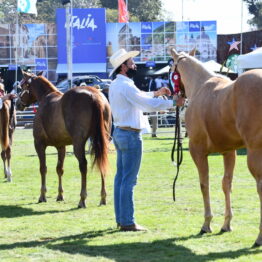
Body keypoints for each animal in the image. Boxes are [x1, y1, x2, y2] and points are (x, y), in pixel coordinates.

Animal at [15, 70, 111, 208]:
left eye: (22, 86)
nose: (17, 103)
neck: (45, 98)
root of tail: (95, 96)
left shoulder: (39, 144)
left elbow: (43, 168)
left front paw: (42, 195)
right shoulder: (61, 146)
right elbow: (59, 169)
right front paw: (60, 195)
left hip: (78, 143)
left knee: (83, 165)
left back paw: (82, 199)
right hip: (101, 140)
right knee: (101, 161)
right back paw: (103, 197)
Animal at [171, 48, 262, 247]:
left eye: (171, 69)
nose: (176, 97)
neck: (200, 86)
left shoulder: (197, 151)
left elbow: (204, 184)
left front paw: (206, 224)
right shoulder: (228, 151)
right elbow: (226, 184)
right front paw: (226, 224)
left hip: (255, 153)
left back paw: (259, 237)